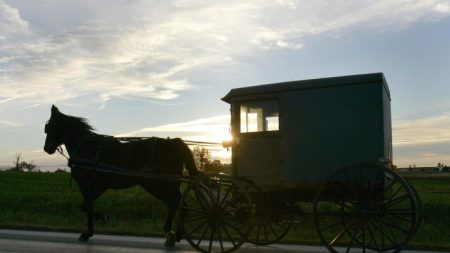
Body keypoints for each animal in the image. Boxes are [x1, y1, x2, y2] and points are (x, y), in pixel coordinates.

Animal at [43, 105, 199, 247]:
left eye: (50, 126)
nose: (47, 148)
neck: (85, 147)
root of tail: (173, 141)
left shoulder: (86, 184)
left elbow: (87, 207)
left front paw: (92, 229)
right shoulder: (99, 186)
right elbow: (86, 207)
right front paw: (100, 221)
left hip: (156, 183)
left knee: (175, 202)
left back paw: (170, 233)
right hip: (169, 184)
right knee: (180, 204)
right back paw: (176, 235)